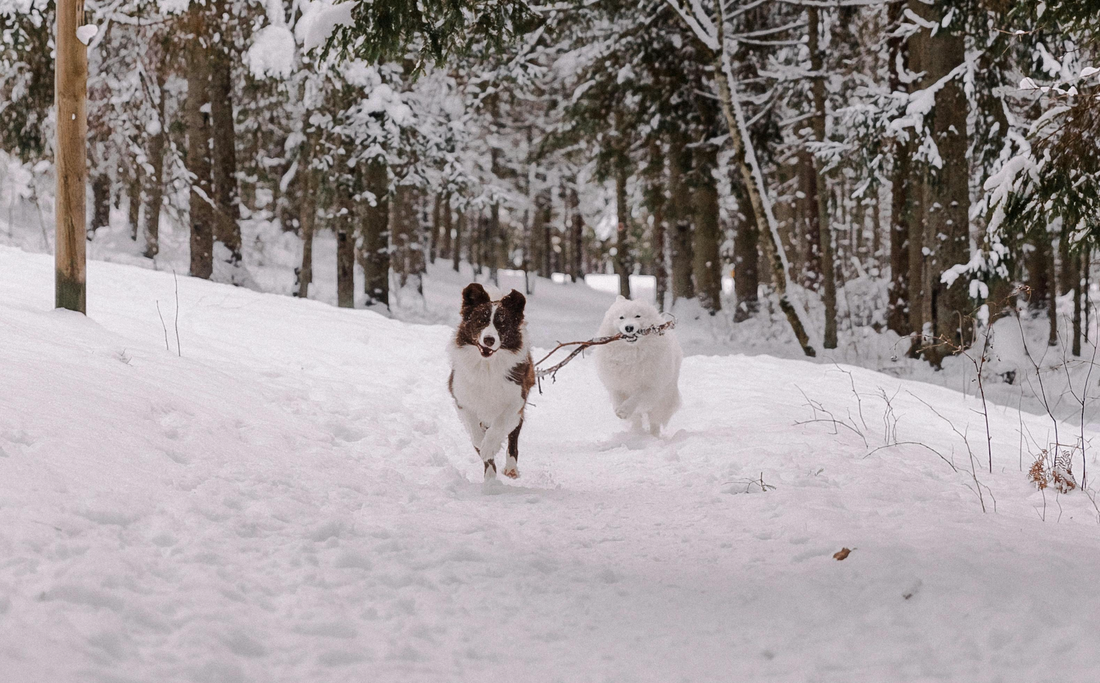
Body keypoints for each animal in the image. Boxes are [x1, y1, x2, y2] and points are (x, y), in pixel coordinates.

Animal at [444, 281, 534, 479]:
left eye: (502, 324)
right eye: (480, 321)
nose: (489, 340)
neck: (486, 366)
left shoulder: (517, 399)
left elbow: (501, 423)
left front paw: (489, 446)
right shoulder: (461, 398)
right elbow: (474, 428)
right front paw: (482, 445)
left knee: (512, 440)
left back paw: (510, 468)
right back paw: (490, 478)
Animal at [594, 294, 677, 433]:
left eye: (638, 316)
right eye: (621, 317)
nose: (629, 327)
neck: (631, 354)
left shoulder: (650, 387)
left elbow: (636, 397)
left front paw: (623, 411)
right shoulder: (615, 384)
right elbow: (617, 398)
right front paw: (619, 410)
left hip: (662, 400)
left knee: (654, 421)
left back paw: (653, 436)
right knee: (637, 420)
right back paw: (636, 433)